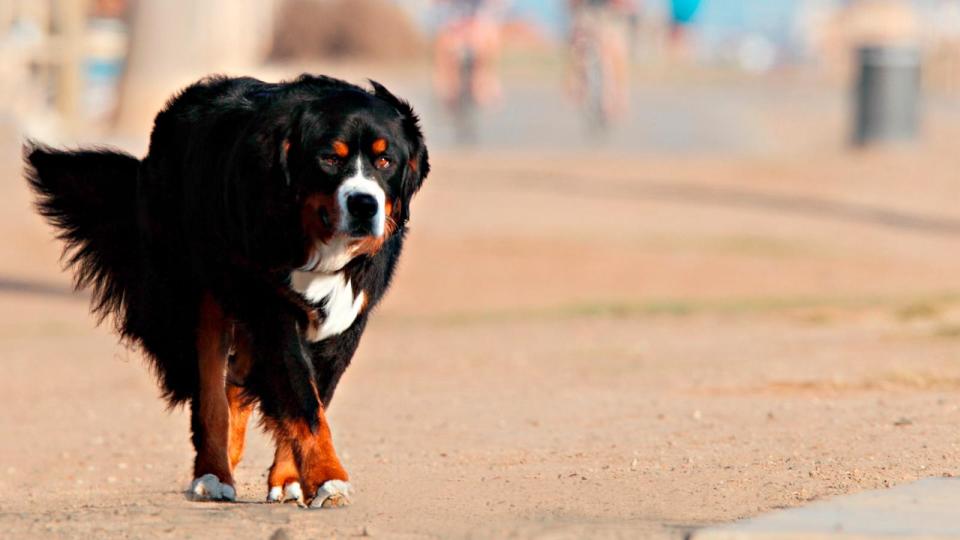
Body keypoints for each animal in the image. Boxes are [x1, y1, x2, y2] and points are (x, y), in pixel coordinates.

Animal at [24, 74, 430, 508]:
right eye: (329, 159)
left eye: (385, 161)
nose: (364, 204)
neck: (311, 241)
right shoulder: (270, 307)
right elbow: (301, 399)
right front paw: (327, 477)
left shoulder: (347, 319)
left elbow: (314, 394)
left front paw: (292, 476)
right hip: (197, 295)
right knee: (211, 398)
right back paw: (213, 473)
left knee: (235, 383)